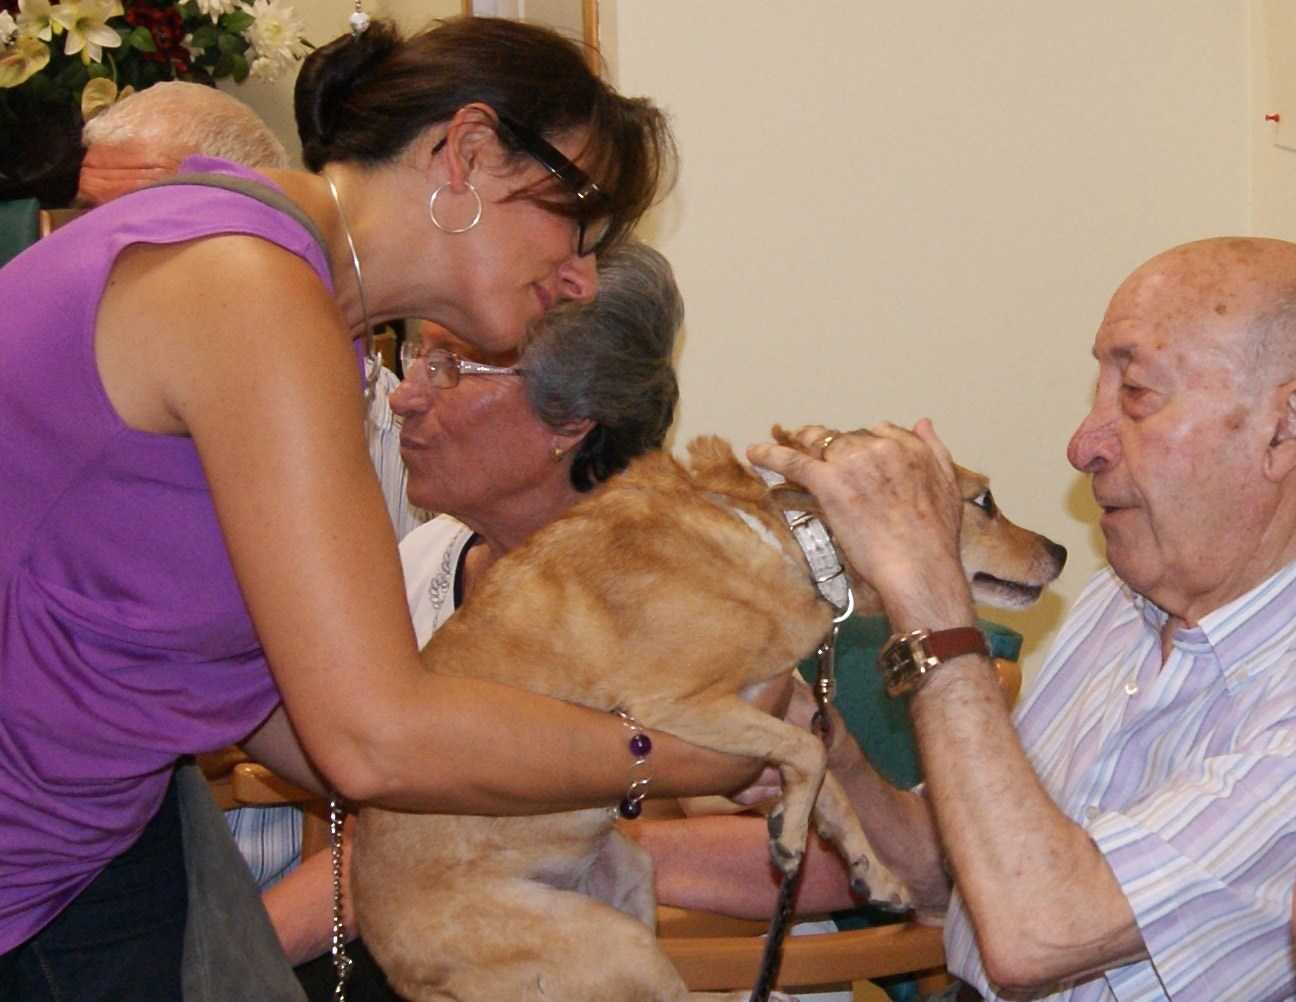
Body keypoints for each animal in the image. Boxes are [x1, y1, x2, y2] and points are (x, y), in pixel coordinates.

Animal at [352, 432, 1062, 1000]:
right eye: (984, 501)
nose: (1059, 550)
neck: (792, 544)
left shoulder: (779, 710)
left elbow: (831, 780)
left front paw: (865, 865)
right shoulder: (673, 704)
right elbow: (809, 755)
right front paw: (792, 837)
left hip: (630, 878)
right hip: (617, 944)